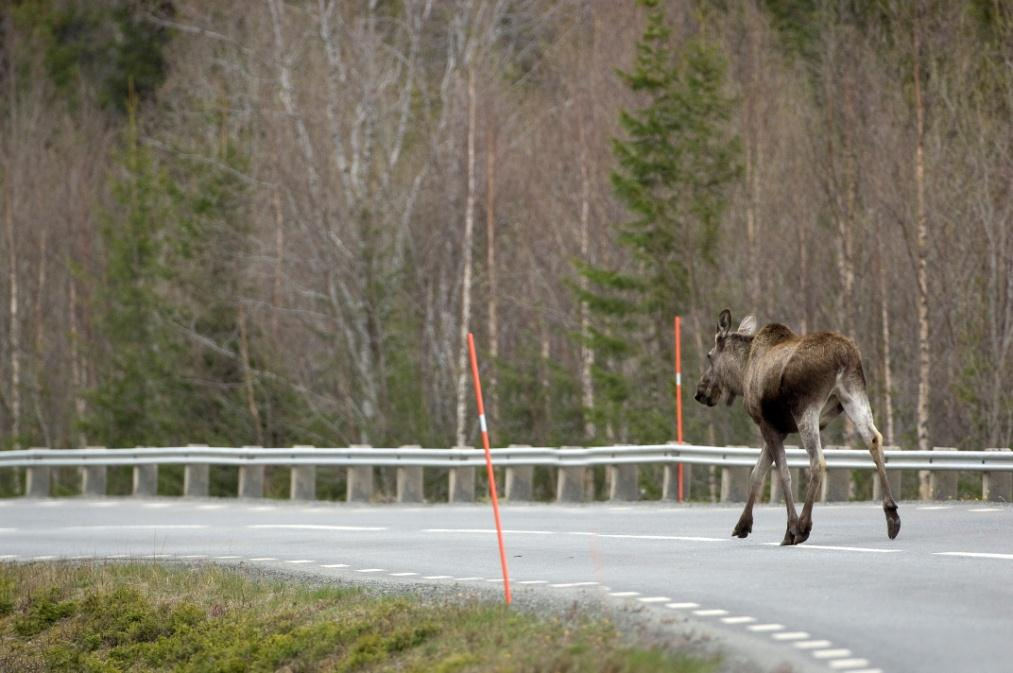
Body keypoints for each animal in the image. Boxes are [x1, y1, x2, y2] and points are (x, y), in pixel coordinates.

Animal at [696, 310, 903, 547]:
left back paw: (804, 525)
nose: (700, 392)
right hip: (853, 395)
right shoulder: (779, 429)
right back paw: (892, 515)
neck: (743, 372)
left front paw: (790, 528)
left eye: (709, 356)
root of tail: (844, 356)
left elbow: (783, 474)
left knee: (818, 461)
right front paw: (743, 525)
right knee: (874, 439)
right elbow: (757, 473)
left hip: (806, 408)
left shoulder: (766, 424)